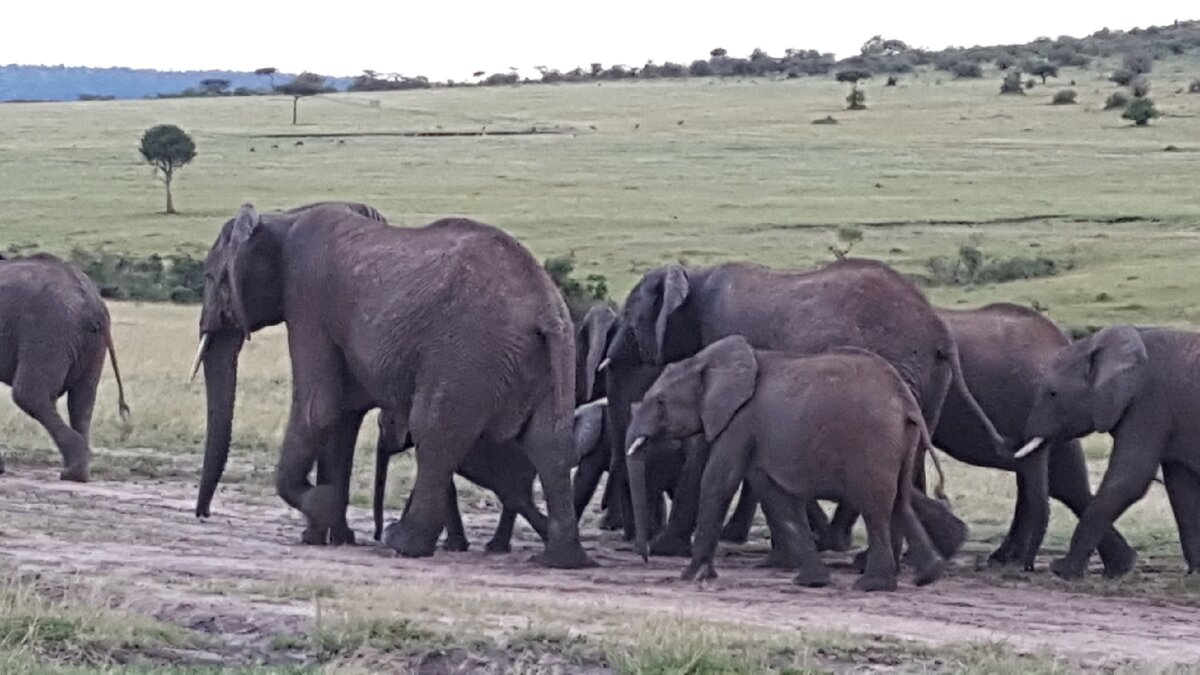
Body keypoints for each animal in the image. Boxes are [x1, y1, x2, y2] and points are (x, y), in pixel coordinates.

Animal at [0, 251, 131, 478]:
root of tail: (94, 303)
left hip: (49, 328)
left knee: (29, 394)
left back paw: (72, 470)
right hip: (90, 343)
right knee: (82, 401)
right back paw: (79, 471)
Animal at [188, 200, 595, 566]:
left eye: (209, 279)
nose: (203, 515)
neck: (283, 217)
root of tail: (545, 310)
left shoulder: (307, 301)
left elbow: (319, 407)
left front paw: (323, 507)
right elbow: (344, 415)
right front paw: (328, 535)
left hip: (468, 355)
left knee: (435, 432)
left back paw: (404, 543)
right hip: (552, 357)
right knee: (549, 442)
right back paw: (563, 559)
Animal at [604, 257, 1008, 557]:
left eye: (629, 317)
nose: (638, 546)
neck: (693, 276)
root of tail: (940, 334)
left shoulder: (721, 337)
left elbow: (707, 448)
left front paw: (666, 548)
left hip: (901, 370)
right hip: (927, 382)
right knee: (911, 458)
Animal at [628, 336, 955, 588]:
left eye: (660, 402)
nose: (645, 557)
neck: (706, 360)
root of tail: (906, 402)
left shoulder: (740, 420)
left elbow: (719, 482)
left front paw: (691, 576)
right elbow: (773, 494)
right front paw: (812, 582)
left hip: (873, 443)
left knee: (875, 507)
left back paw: (873, 585)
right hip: (902, 440)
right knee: (900, 500)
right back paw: (929, 575)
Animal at [1022, 324, 1200, 576]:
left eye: (1052, 393)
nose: (1028, 567)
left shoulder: (1150, 402)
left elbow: (1128, 480)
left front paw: (1063, 570)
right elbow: (1182, 491)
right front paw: (1195, 574)